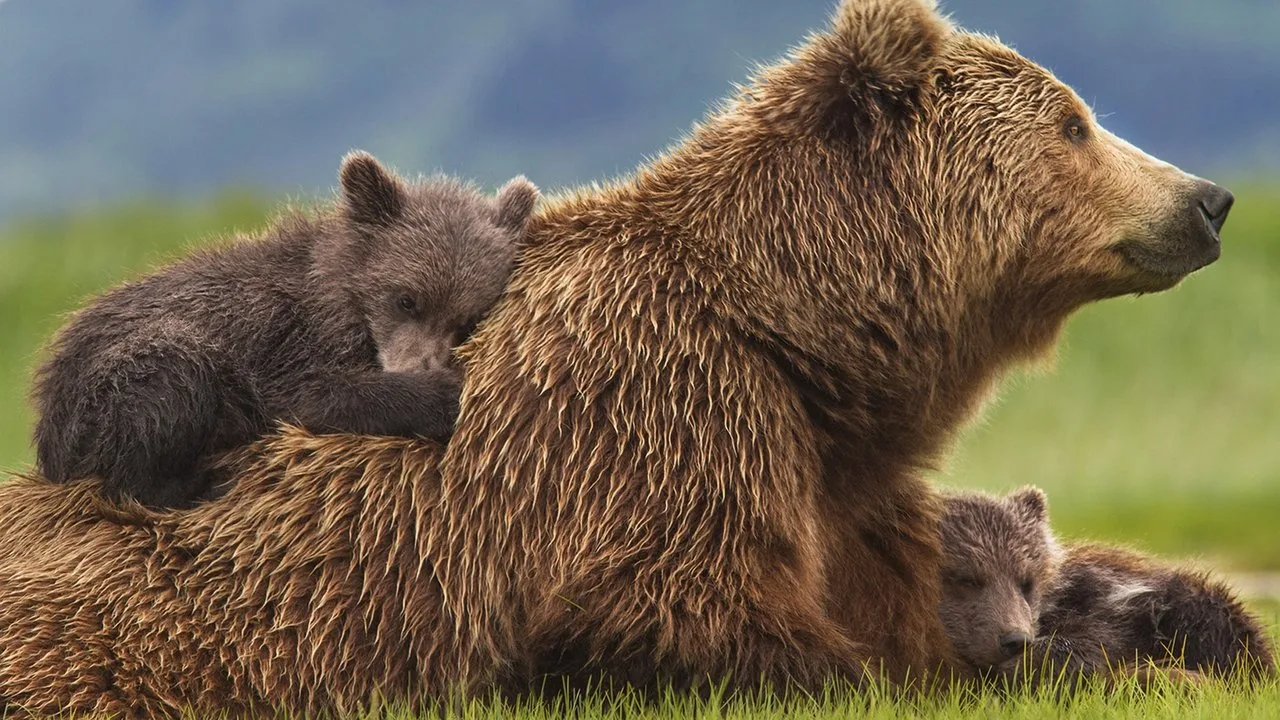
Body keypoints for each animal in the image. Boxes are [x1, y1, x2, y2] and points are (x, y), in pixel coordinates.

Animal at [31, 151, 538, 508]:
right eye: (407, 298)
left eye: (466, 319)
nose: (420, 366)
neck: (342, 296)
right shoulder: (286, 339)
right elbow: (312, 395)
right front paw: (442, 394)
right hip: (111, 387)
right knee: (168, 381)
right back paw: (203, 481)